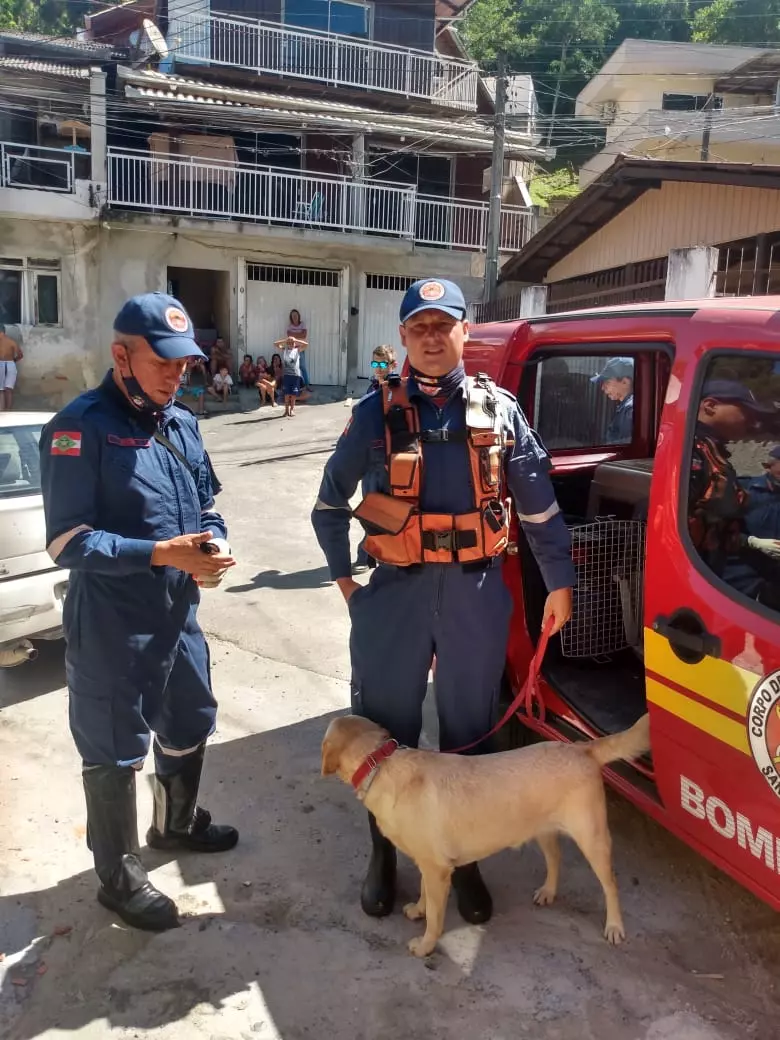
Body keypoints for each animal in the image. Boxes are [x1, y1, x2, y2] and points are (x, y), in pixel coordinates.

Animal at [320, 715, 648, 956]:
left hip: (593, 839)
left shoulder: (437, 870)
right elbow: (425, 895)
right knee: (555, 858)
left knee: (610, 884)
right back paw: (548, 891)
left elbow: (436, 918)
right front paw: (419, 909)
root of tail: (581, 747)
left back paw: (614, 926)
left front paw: (426, 946)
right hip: (542, 829)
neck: (379, 764)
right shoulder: (429, 864)